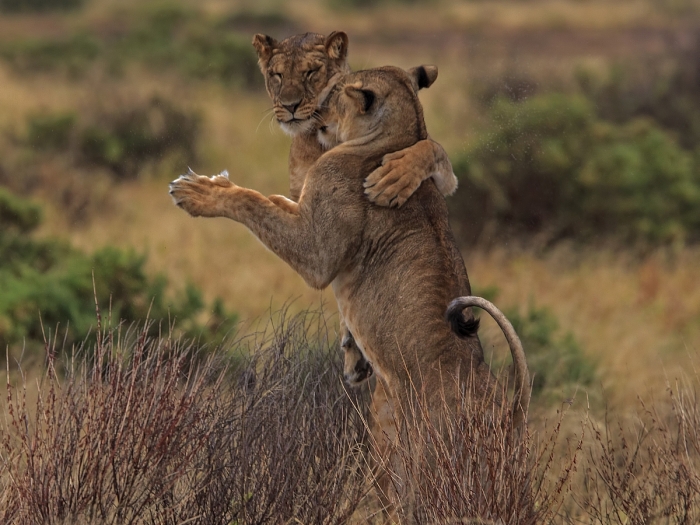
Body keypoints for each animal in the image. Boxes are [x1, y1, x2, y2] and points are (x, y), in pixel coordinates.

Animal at [170, 64, 532, 516]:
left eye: (330, 95)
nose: (310, 115)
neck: (398, 136)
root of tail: (506, 409)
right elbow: (272, 200)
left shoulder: (317, 251)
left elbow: (255, 202)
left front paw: (197, 192)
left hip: (432, 468)